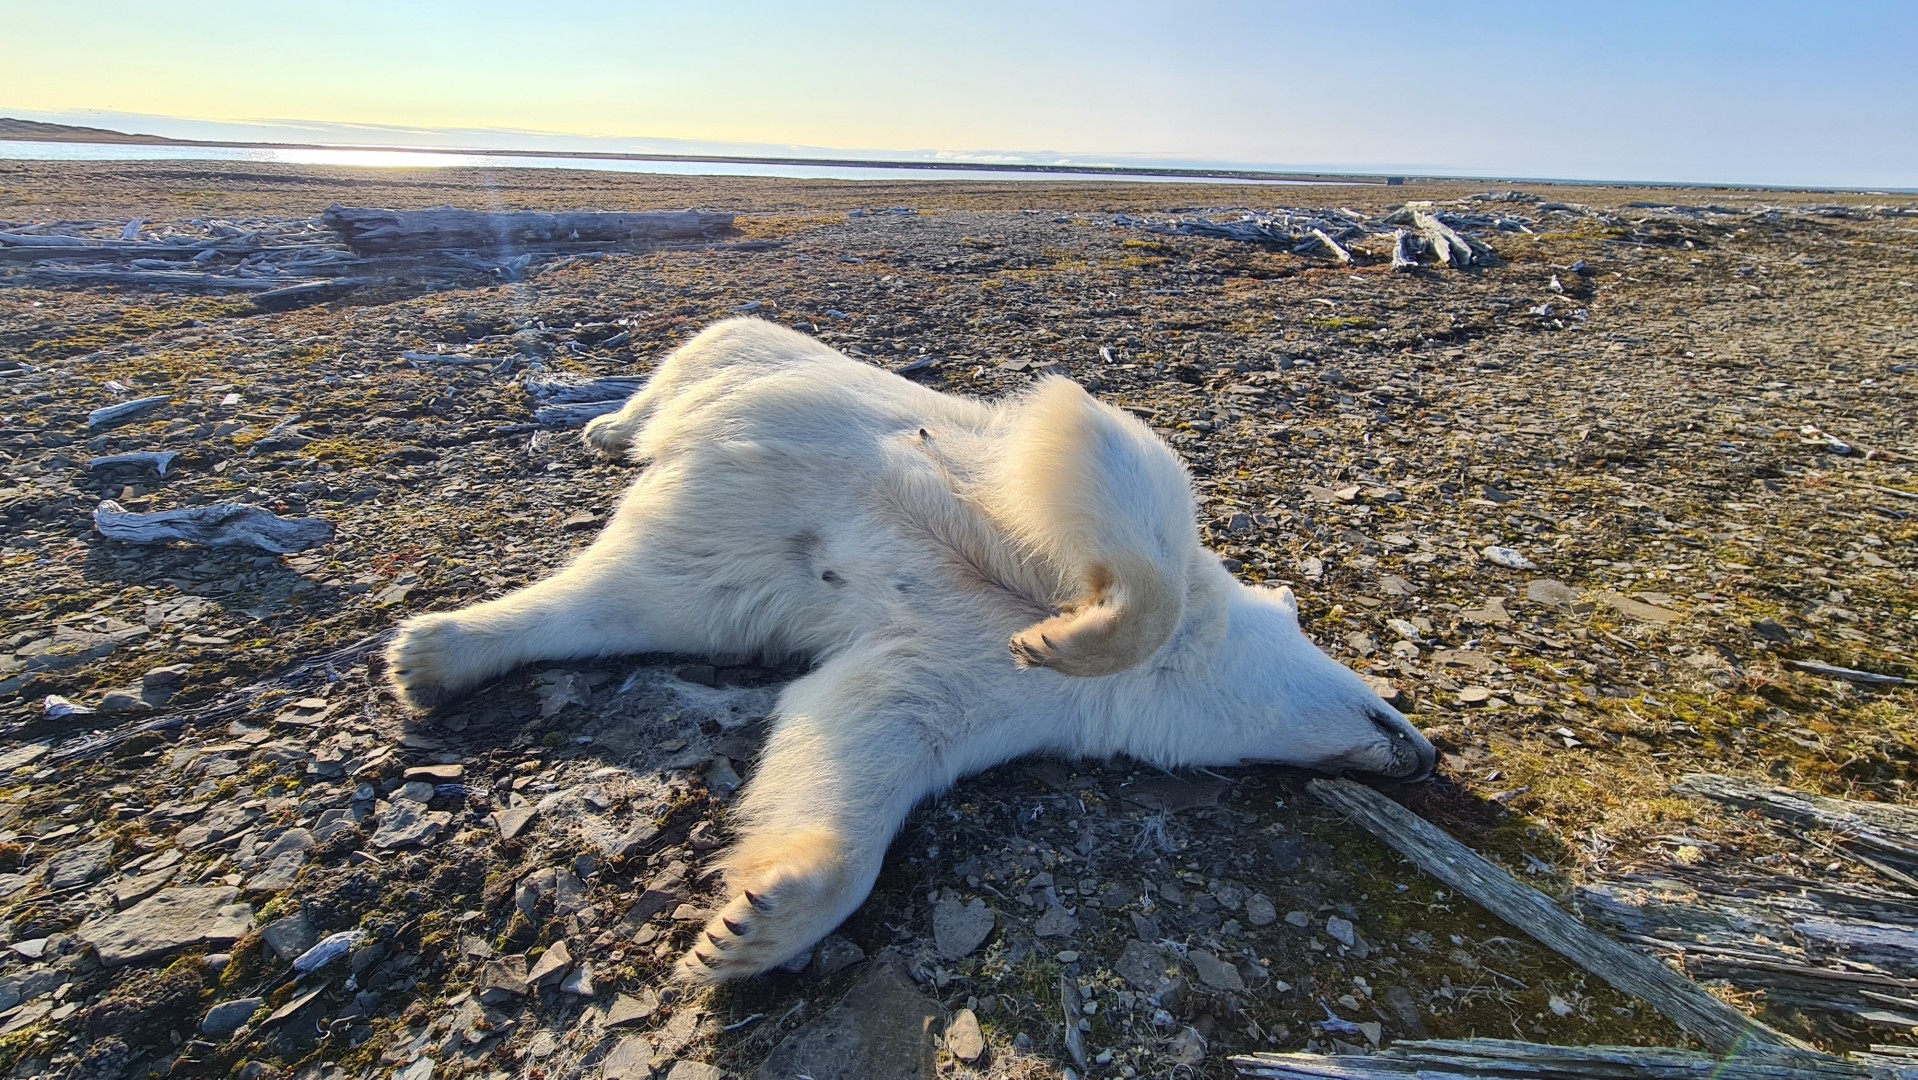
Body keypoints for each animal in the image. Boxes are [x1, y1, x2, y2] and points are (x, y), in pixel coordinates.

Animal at [389, 316, 1434, 982]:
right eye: (1386, 697)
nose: (1426, 756)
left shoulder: (981, 691)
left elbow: (864, 728)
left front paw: (752, 924)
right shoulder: (1083, 493)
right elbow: (1111, 467)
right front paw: (1061, 634)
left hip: (713, 568)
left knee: (632, 595)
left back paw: (434, 654)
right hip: (738, 351)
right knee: (675, 387)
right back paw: (607, 427)